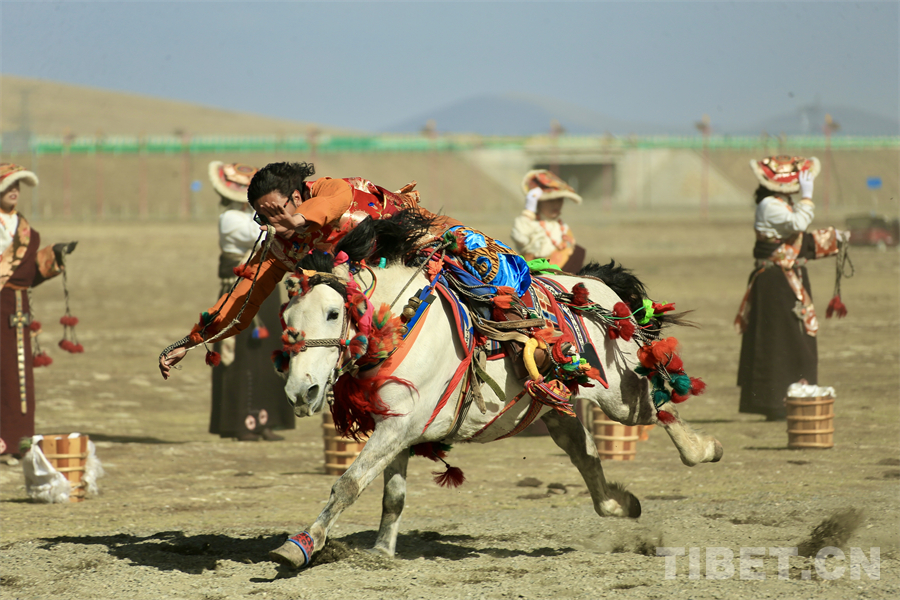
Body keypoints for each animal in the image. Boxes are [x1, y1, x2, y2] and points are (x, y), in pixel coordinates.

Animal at [267, 213, 722, 569]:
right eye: (286, 317)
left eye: (333, 313)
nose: (301, 392)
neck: (402, 323)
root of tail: (595, 285)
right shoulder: (394, 426)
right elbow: (391, 495)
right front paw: (381, 550)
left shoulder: (399, 427)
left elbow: (348, 483)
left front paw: (301, 545)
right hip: (553, 406)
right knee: (586, 455)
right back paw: (623, 503)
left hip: (620, 395)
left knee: (658, 407)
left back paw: (705, 449)